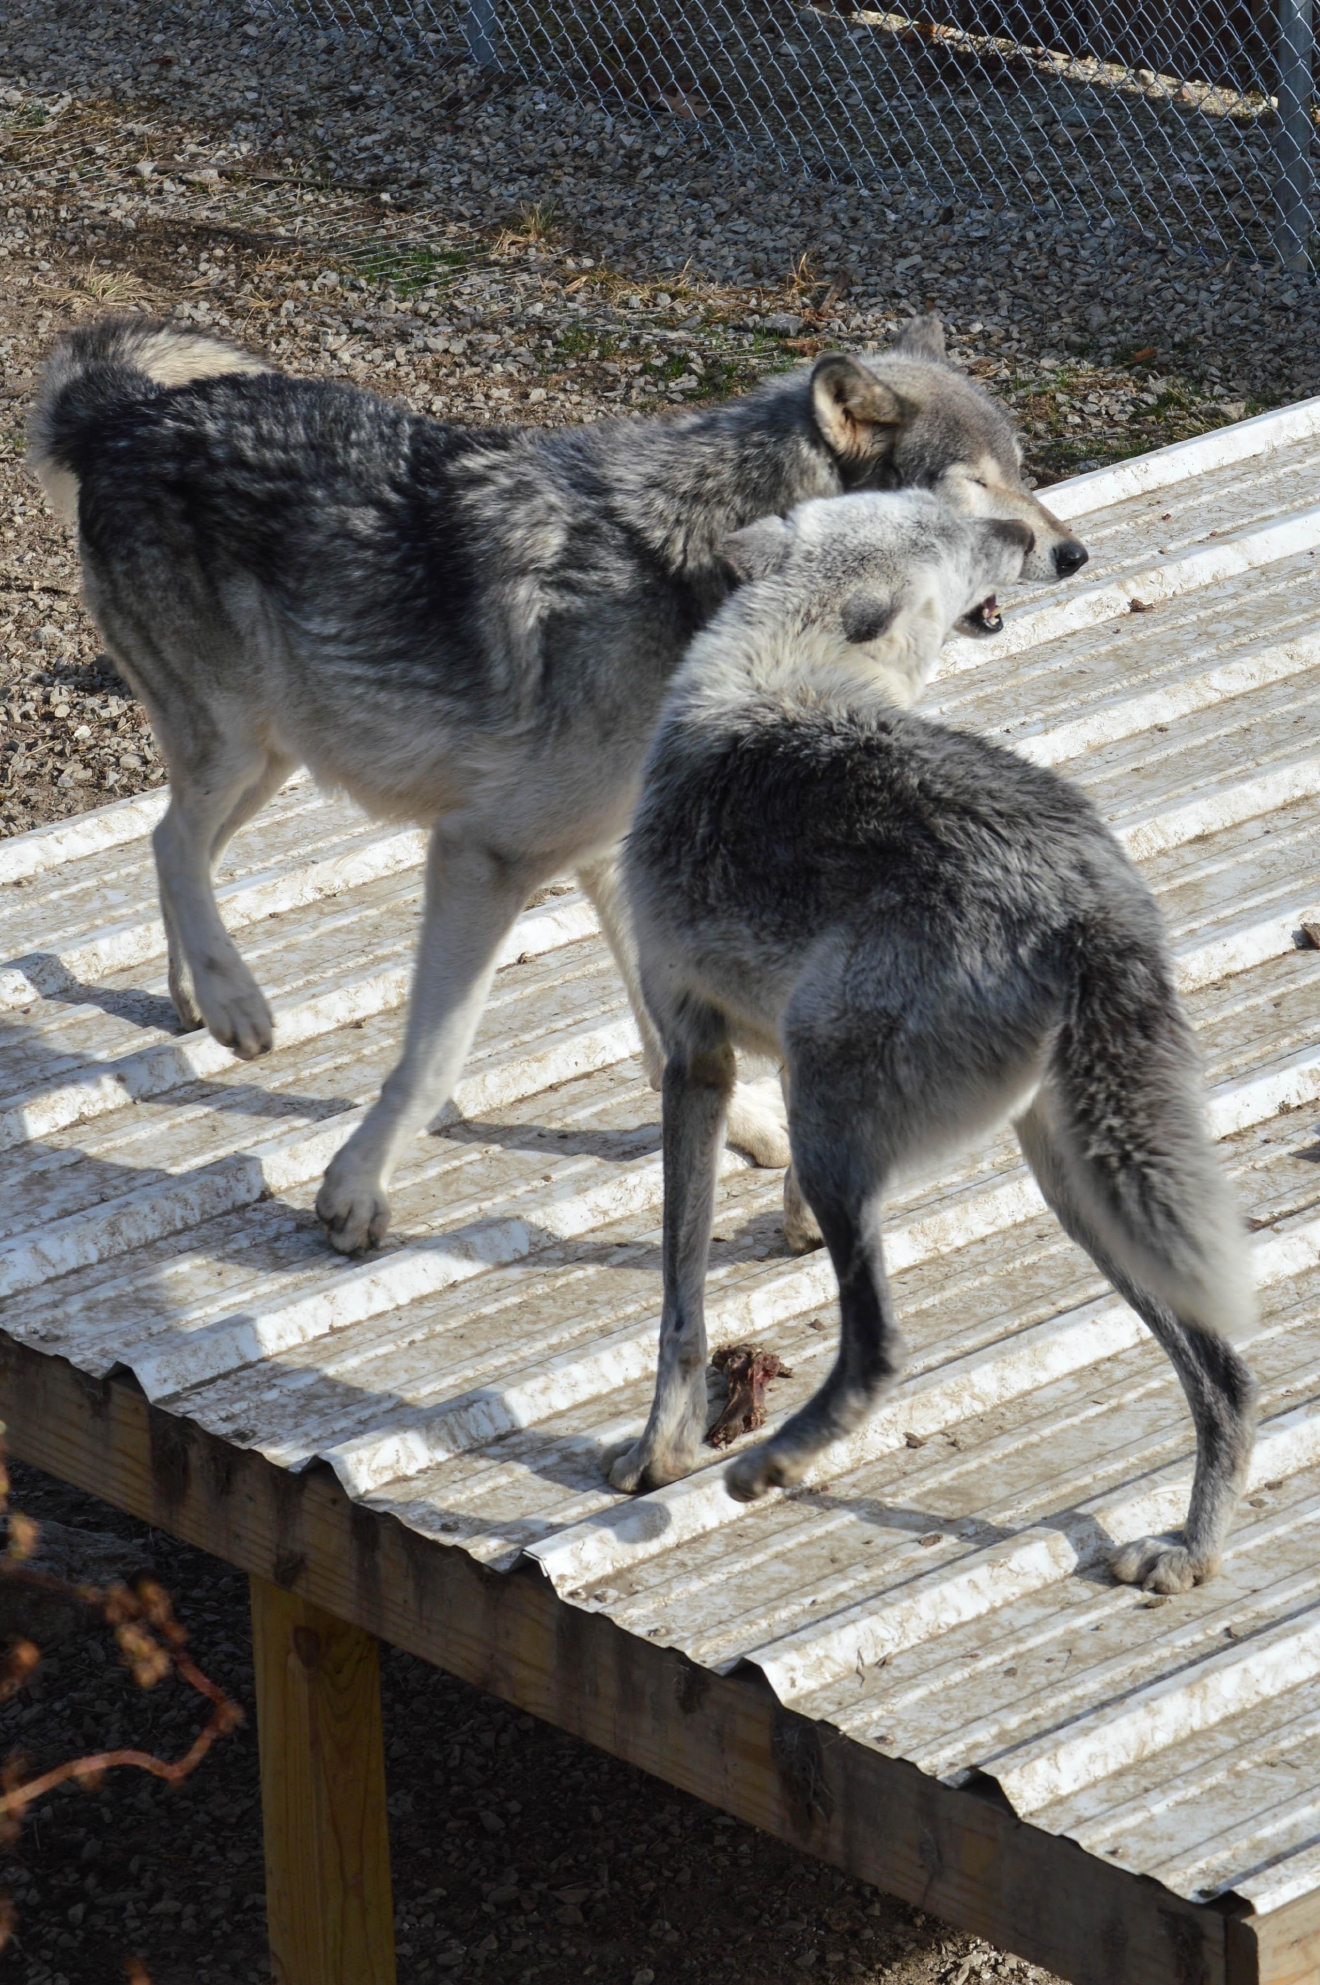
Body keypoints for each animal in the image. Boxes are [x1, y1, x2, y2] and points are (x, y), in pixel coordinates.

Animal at [29, 313, 1088, 1257]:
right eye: (973, 490)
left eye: (1022, 470)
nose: (1072, 552)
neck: (702, 574)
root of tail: (125, 413)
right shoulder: (482, 855)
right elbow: (436, 1054)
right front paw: (355, 1193)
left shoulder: (616, 855)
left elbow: (668, 1025)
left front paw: (744, 1127)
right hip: (245, 749)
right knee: (171, 840)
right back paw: (236, 1001)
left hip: (278, 754)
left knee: (173, 844)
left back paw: (198, 994)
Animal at [616, 490, 1257, 1595]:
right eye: (950, 526)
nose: (1045, 540)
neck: (783, 660)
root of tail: (1086, 902)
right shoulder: (743, 1061)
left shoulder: (697, 1062)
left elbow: (679, 1304)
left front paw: (662, 1452)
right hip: (1080, 1192)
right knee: (1230, 1379)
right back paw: (1191, 1549)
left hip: (840, 1121)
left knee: (881, 1348)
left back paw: (772, 1462)